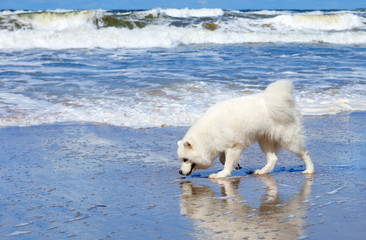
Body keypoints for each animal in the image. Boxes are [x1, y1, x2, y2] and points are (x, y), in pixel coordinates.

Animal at [177, 80, 314, 178]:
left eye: (185, 159)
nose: (180, 172)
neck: (207, 135)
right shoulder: (224, 145)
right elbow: (223, 159)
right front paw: (236, 166)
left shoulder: (234, 146)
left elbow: (227, 163)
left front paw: (222, 174)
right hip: (265, 140)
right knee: (273, 158)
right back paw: (263, 171)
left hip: (287, 139)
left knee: (305, 153)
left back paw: (309, 170)